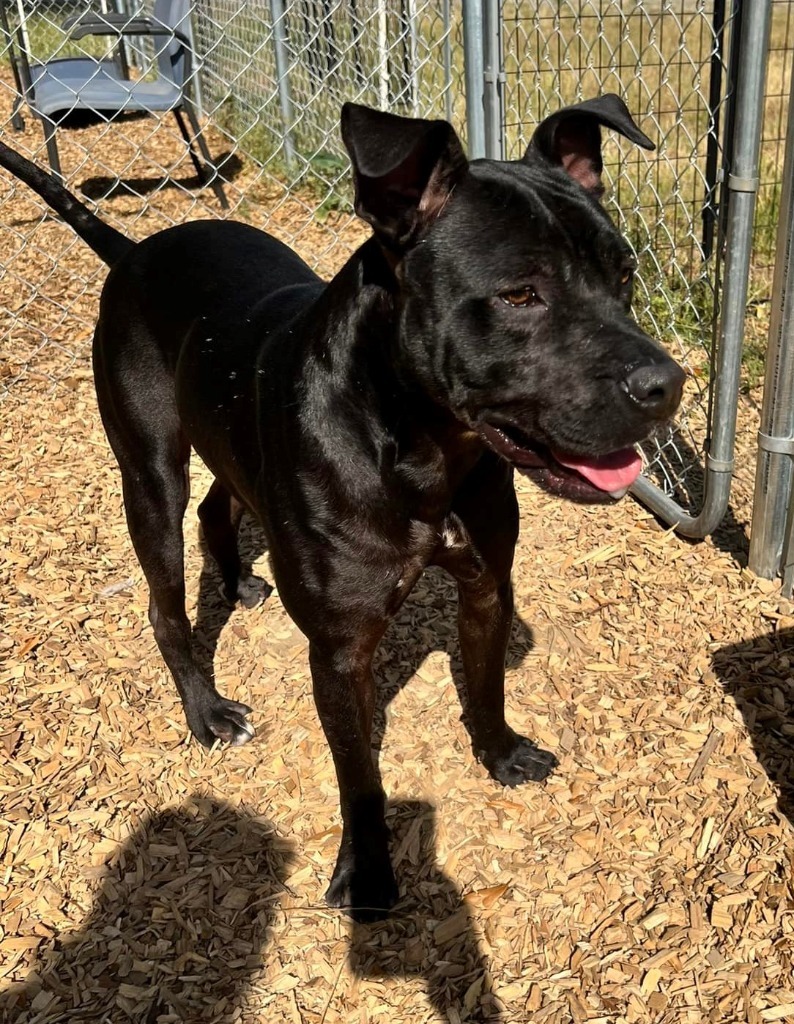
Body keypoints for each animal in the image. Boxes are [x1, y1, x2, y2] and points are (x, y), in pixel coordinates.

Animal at [0, 97, 684, 921]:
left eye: (626, 274)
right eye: (520, 294)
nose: (667, 385)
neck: (421, 448)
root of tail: (135, 253)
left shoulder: (488, 586)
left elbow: (485, 683)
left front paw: (501, 752)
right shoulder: (339, 650)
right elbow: (358, 772)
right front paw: (367, 871)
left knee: (218, 504)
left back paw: (238, 582)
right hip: (150, 474)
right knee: (166, 601)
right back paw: (206, 710)